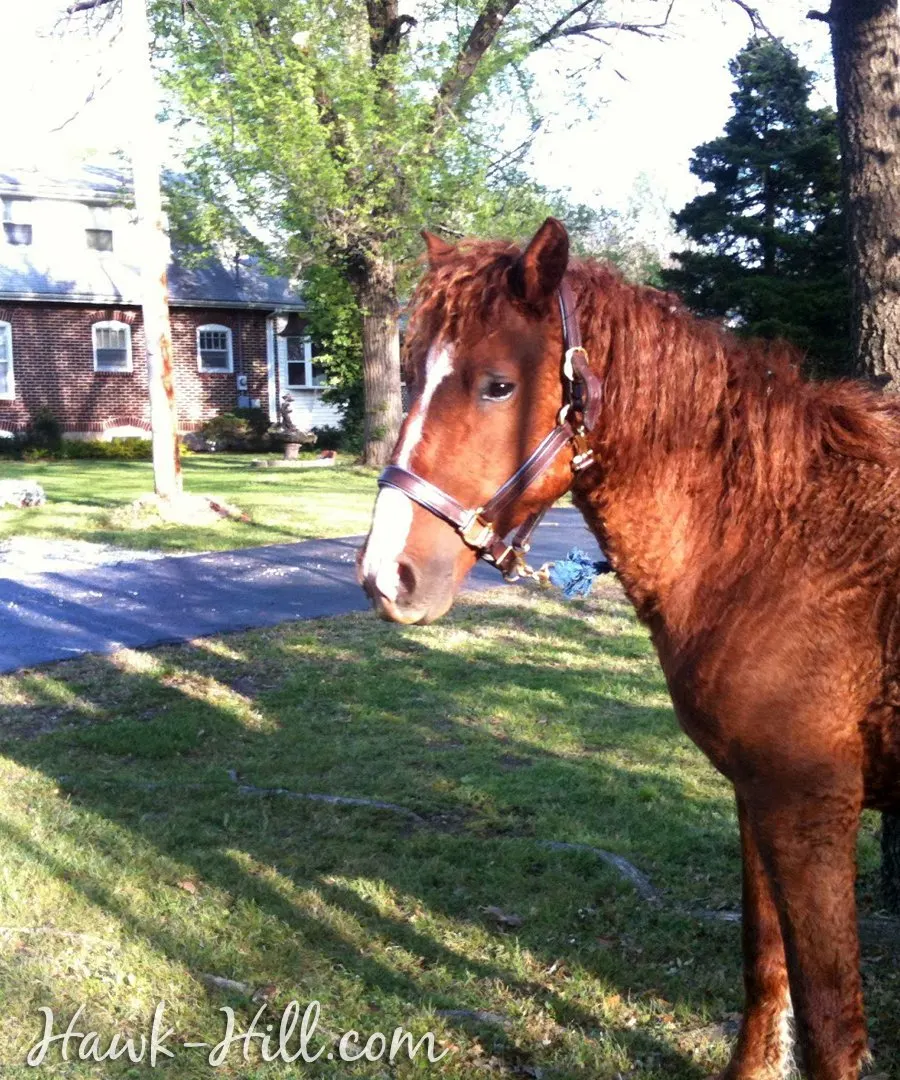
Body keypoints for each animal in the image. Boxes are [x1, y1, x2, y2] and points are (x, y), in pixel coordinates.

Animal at [358, 219, 898, 1080]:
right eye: (407, 373)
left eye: (499, 386)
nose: (387, 575)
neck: (781, 539)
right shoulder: (759, 798)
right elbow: (764, 967)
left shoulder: (809, 806)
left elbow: (829, 1022)